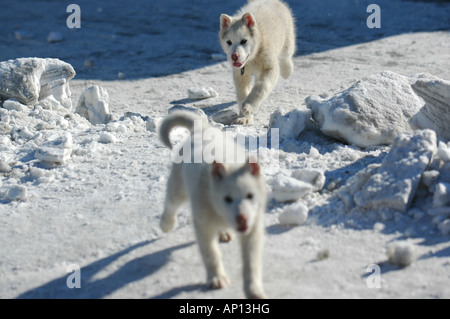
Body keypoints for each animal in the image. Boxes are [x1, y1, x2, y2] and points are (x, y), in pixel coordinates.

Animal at [158, 111, 268, 298]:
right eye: (227, 199)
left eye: (250, 196)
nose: (242, 219)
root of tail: (202, 128)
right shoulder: (203, 225)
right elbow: (211, 253)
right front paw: (217, 278)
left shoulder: (253, 229)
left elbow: (251, 262)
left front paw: (254, 290)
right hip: (178, 185)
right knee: (171, 203)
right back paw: (166, 223)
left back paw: (223, 232)